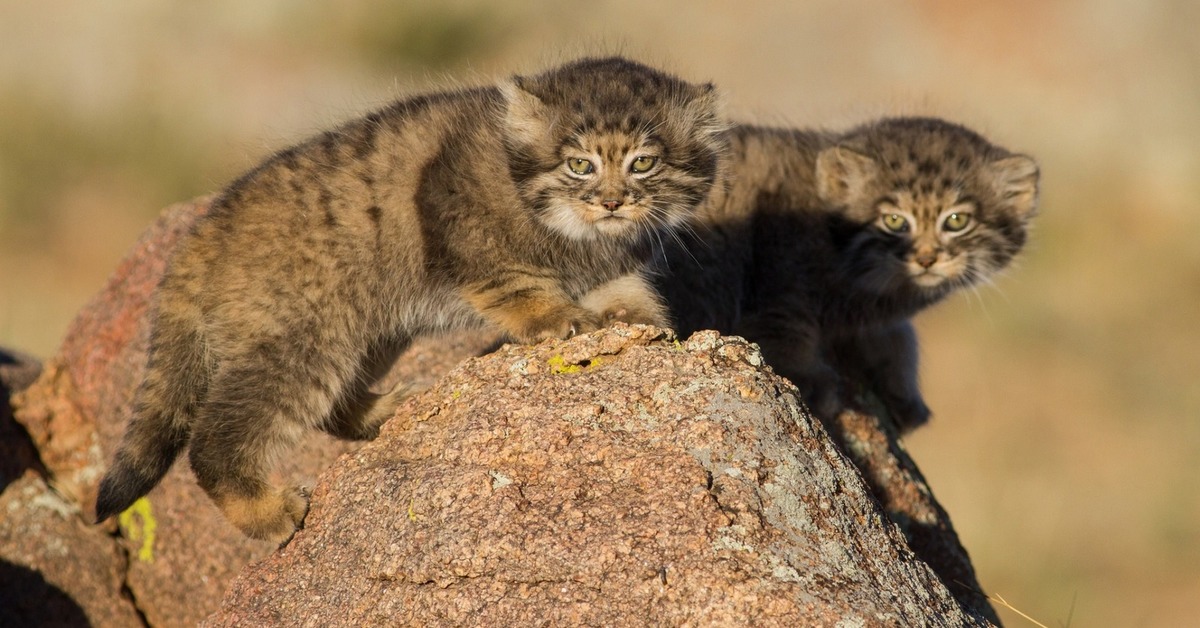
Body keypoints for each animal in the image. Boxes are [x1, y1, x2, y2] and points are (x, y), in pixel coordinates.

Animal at [93, 56, 724, 542]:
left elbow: (624, 288)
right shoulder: (462, 228)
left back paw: (385, 412)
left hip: (366, 329)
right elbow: (518, 283)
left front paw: (641, 321)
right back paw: (268, 513)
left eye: (644, 162)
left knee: (332, 408)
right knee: (214, 440)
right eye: (579, 164)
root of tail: (201, 234)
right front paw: (556, 318)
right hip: (302, 339)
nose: (613, 202)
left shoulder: (608, 262)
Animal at [652, 116, 1036, 432]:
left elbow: (899, 334)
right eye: (894, 221)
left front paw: (903, 390)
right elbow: (784, 328)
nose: (926, 259)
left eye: (956, 221)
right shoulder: (778, 278)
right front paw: (808, 379)